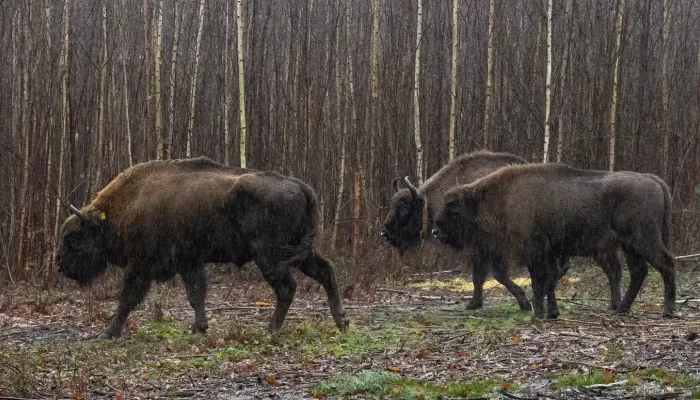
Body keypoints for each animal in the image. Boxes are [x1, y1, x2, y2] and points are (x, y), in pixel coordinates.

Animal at [56, 158, 350, 340]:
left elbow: (127, 298)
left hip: (270, 255)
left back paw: (271, 329)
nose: (60, 266)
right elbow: (196, 295)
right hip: (298, 252)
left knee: (287, 287)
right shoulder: (190, 263)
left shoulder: (141, 266)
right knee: (326, 271)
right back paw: (341, 321)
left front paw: (108, 333)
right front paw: (199, 327)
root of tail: (300, 186)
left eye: (74, 239)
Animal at [434, 162, 676, 318]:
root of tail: (653, 180)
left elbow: (539, 281)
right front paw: (551, 312)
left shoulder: (534, 253)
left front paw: (538, 313)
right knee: (637, 271)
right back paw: (621, 309)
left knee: (665, 263)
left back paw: (668, 310)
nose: (436, 231)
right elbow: (548, 281)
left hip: (642, 239)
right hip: (629, 246)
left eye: (453, 210)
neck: (499, 199)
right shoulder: (548, 253)